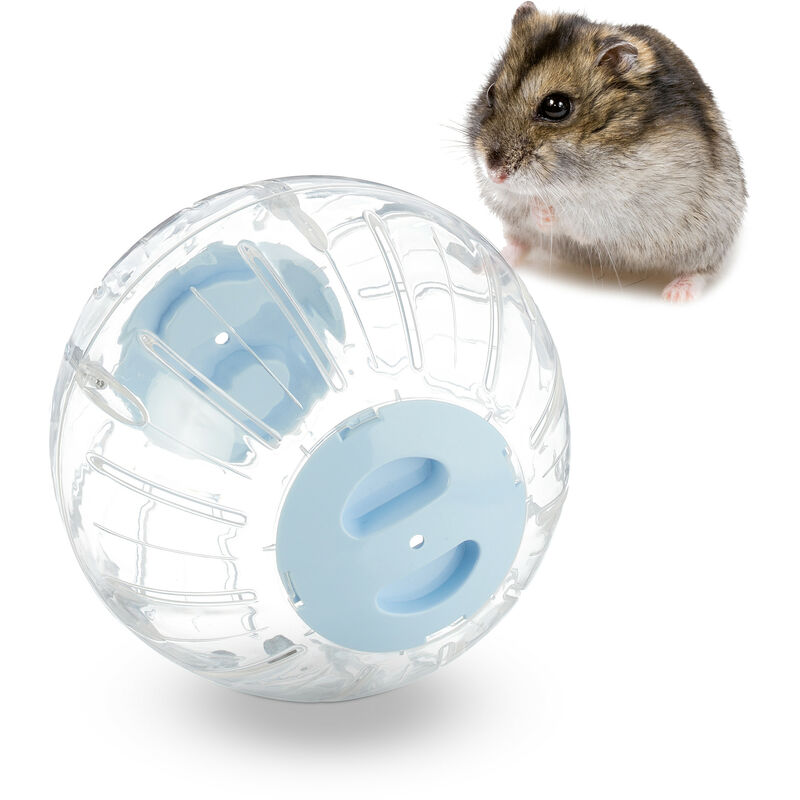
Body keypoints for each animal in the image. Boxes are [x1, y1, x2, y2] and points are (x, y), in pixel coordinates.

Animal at [466, 3, 746, 301]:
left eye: (556, 106)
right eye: (490, 93)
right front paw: (533, 203)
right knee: (521, 244)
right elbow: (517, 202)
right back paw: (490, 262)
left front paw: (544, 209)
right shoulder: (499, 195)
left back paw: (677, 295)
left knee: (702, 270)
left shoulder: (616, 208)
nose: (495, 173)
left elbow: (568, 213)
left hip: (709, 239)